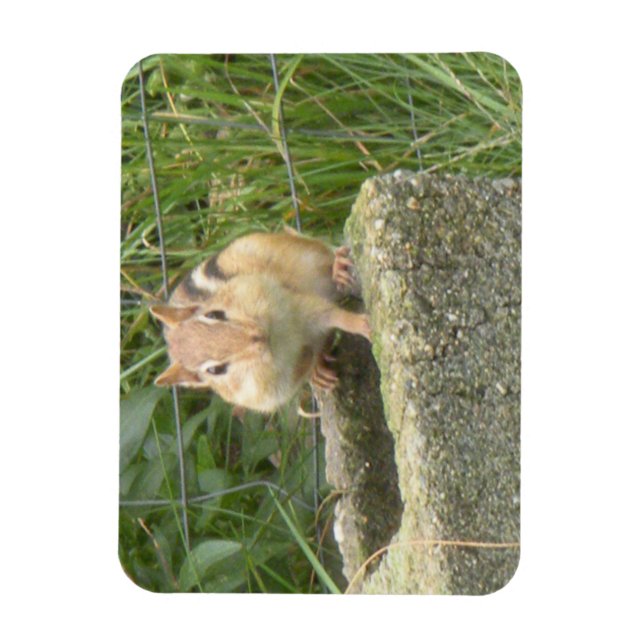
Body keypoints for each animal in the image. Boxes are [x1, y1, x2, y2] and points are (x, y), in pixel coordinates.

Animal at [150, 227, 370, 413]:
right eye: (215, 370)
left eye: (214, 314)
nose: (258, 337)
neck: (278, 340)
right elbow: (305, 361)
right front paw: (315, 368)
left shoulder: (295, 304)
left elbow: (332, 315)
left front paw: (362, 325)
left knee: (325, 253)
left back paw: (337, 267)